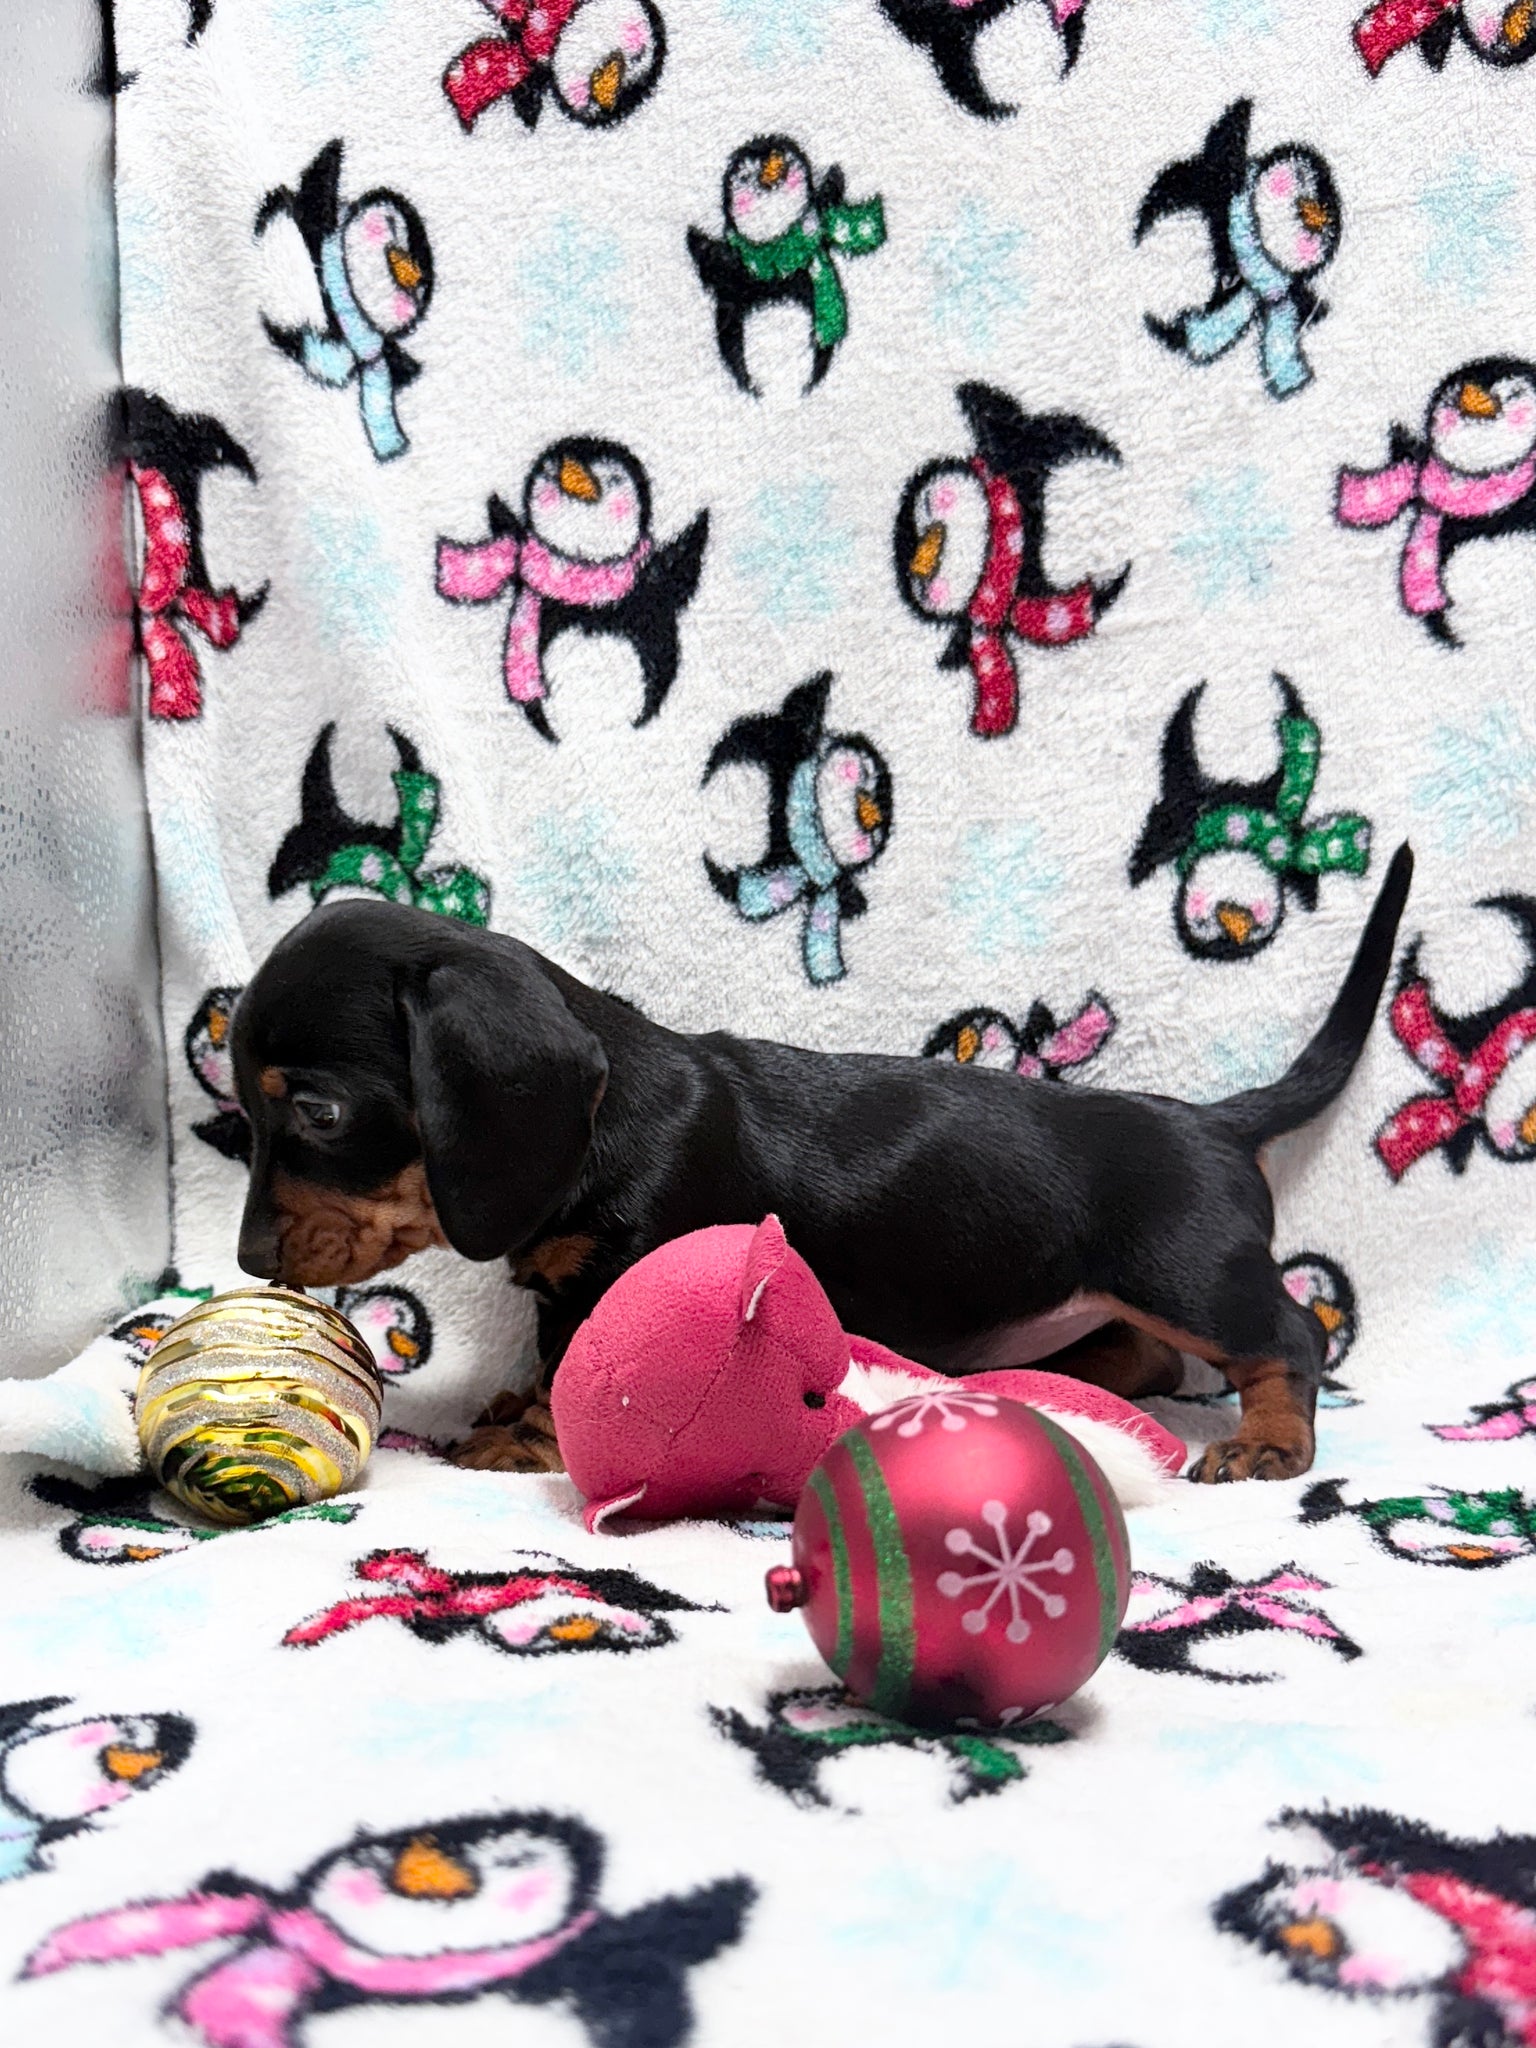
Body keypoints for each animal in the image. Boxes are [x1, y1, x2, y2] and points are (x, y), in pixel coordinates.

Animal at [232, 843, 1414, 1484]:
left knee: (1287, 1339)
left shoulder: (623, 1272)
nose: (247, 1261)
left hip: (1188, 1272)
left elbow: (583, 1368)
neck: (612, 1117)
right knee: (1152, 1361)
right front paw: (516, 1402)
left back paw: (1268, 1438)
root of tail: (1215, 1122)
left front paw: (529, 1436)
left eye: (321, 1112)